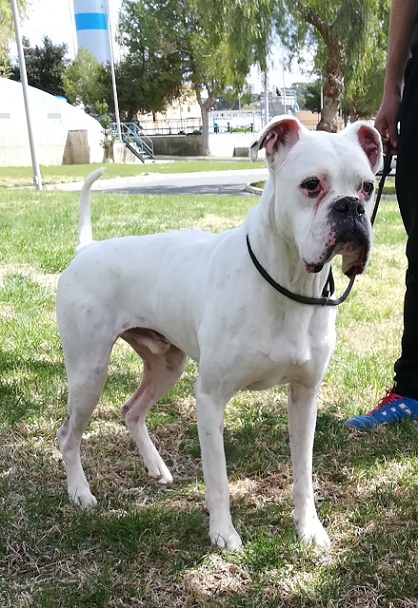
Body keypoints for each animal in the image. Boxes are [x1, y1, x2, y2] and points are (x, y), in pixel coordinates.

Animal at [56, 115, 382, 550]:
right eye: (312, 184)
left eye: (367, 187)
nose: (351, 207)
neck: (287, 284)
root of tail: (85, 250)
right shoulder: (210, 399)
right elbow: (218, 480)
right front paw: (223, 533)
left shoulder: (305, 397)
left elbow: (303, 473)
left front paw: (308, 528)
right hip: (89, 375)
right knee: (68, 436)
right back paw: (80, 492)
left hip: (166, 366)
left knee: (131, 410)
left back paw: (156, 467)